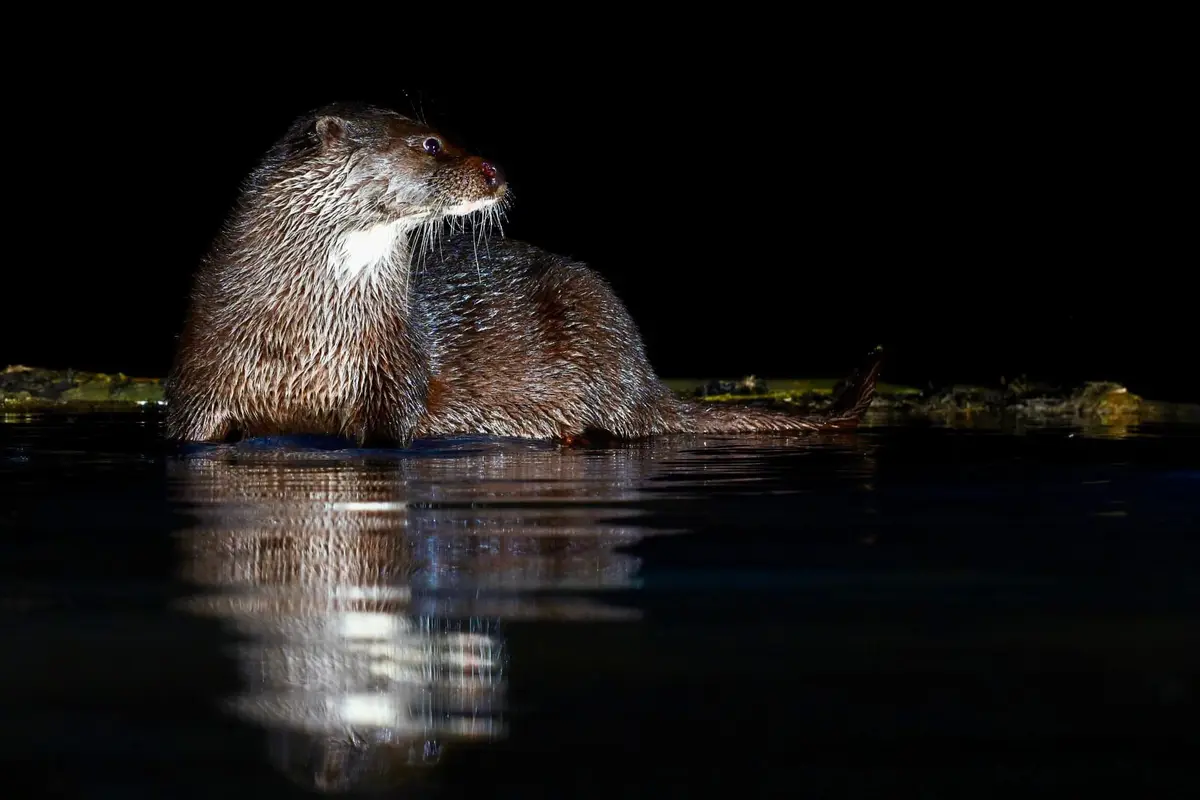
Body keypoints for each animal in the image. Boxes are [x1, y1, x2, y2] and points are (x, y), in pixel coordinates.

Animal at [166, 103, 881, 447]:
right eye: (431, 143)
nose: (495, 169)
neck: (304, 334)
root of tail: (643, 371)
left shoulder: (394, 381)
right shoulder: (198, 387)